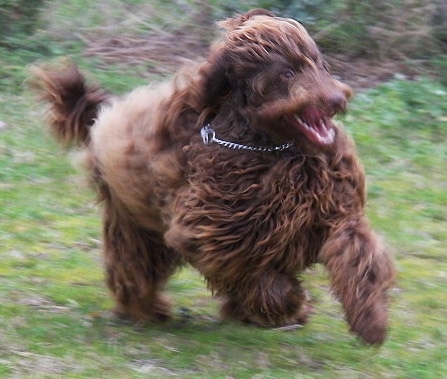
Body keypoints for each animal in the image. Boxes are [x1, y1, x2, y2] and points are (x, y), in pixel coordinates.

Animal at [31, 10, 396, 346]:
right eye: (288, 71)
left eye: (320, 65)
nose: (337, 99)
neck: (276, 149)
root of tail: (103, 114)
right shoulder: (215, 239)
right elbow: (262, 282)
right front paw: (293, 302)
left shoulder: (337, 213)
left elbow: (358, 256)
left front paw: (371, 320)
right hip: (134, 224)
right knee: (133, 267)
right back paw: (146, 310)